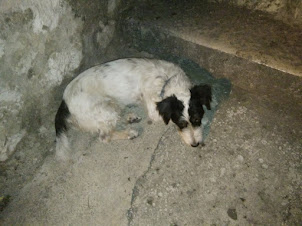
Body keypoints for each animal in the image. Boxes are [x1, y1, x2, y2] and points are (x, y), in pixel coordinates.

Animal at [55, 58, 212, 161]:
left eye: (197, 119)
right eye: (181, 124)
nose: (195, 144)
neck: (166, 80)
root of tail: (64, 102)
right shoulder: (154, 111)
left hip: (112, 105)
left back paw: (130, 117)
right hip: (104, 109)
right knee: (104, 136)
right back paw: (129, 133)